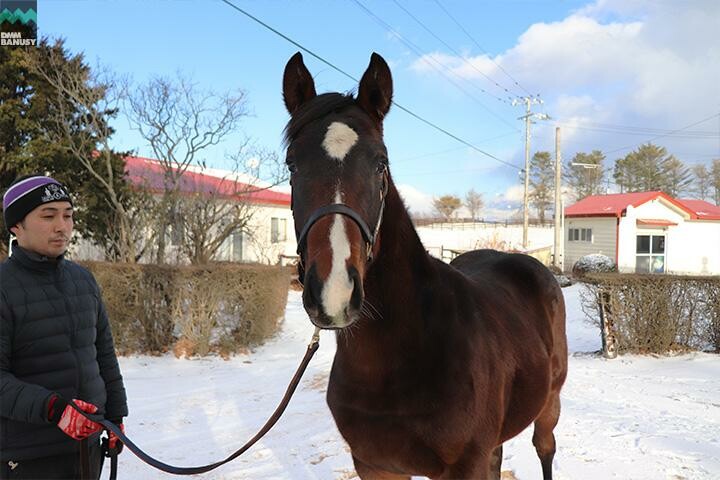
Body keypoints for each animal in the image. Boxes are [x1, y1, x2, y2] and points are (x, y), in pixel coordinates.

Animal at [282, 52, 568, 480]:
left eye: (380, 164)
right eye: (292, 165)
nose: (334, 292)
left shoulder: (463, 466)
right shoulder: (375, 465)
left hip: (549, 405)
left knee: (545, 449)